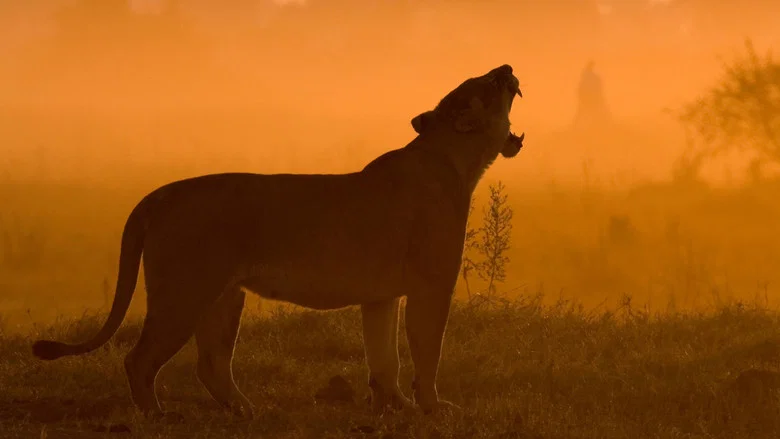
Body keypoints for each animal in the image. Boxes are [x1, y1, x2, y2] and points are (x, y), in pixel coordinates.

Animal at [31, 64, 525, 419]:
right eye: (492, 82)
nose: (507, 66)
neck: (455, 160)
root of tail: (162, 193)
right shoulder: (430, 286)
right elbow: (426, 352)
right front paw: (432, 408)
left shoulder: (380, 296)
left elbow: (384, 359)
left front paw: (393, 408)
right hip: (183, 294)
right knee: (140, 359)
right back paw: (158, 416)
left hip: (223, 297)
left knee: (211, 363)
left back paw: (247, 411)